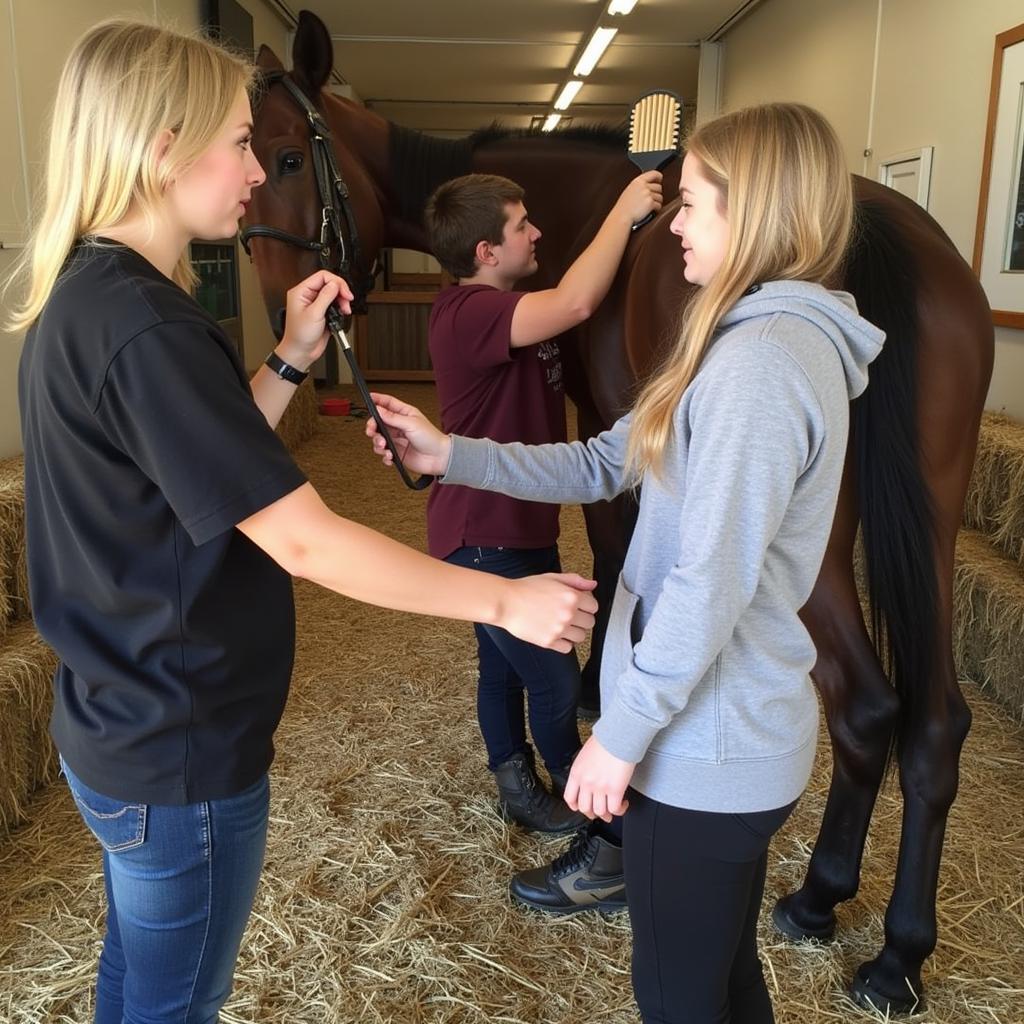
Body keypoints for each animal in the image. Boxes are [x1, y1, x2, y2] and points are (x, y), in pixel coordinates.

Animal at [241, 9, 991, 1015]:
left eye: (288, 158)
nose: (293, 315)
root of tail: (865, 224)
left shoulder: (610, 425)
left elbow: (609, 552)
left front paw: (598, 685)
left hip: (823, 549)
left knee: (866, 706)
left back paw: (829, 903)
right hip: (934, 523)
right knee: (935, 723)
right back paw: (896, 948)